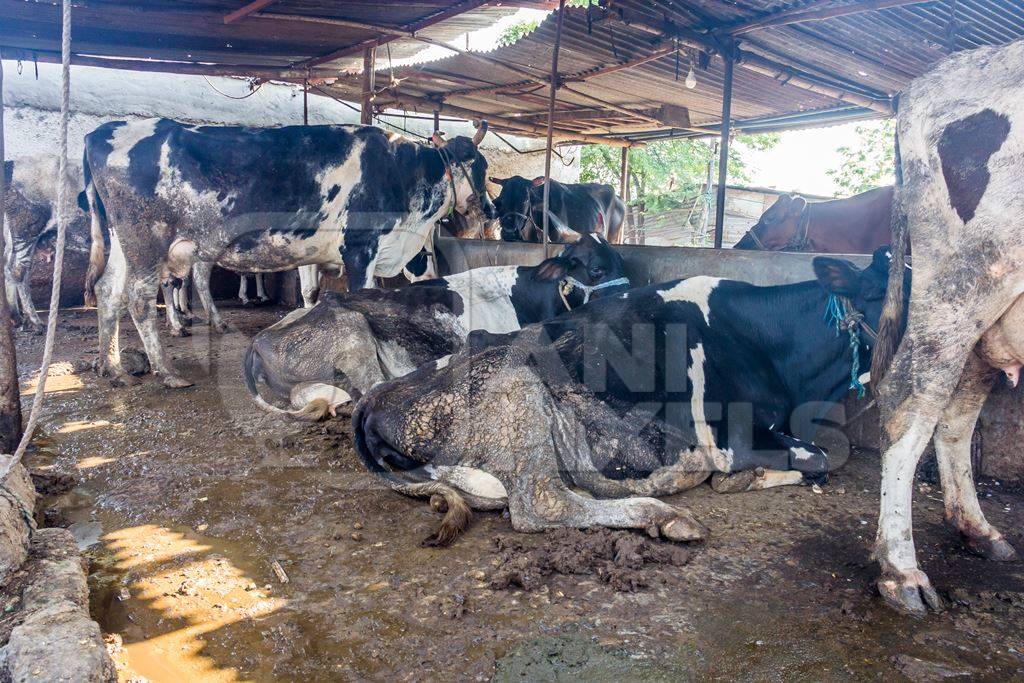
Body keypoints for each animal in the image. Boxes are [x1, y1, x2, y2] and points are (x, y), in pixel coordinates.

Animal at [82, 114, 495, 387]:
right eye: (482, 168)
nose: (490, 212)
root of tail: (100, 131)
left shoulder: (314, 252)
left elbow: (311, 296)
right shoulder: (360, 247)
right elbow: (362, 297)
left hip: (124, 245)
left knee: (108, 291)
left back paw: (112, 366)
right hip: (147, 242)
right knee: (138, 298)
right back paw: (166, 371)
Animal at [354, 248, 905, 548]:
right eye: (886, 295)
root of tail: (374, 398)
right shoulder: (737, 438)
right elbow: (823, 459)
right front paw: (744, 480)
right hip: (520, 394)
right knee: (542, 504)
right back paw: (665, 515)